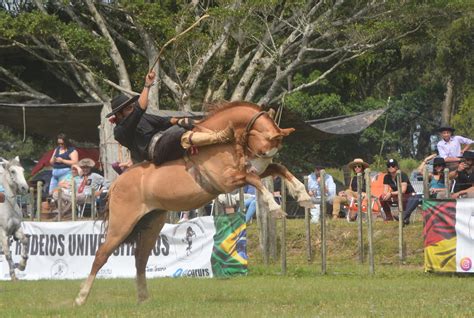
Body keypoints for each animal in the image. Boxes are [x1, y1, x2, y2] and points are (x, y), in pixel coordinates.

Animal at [74, 101, 312, 306]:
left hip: (151, 225)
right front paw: (275, 208)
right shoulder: (228, 180)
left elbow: (279, 169)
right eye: (262, 148)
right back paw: (81, 298)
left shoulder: (247, 172)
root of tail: (116, 183)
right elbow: (254, 179)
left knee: (140, 259)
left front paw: (304, 196)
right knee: (101, 255)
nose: (253, 164)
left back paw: (143, 299)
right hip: (121, 225)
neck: (217, 144)